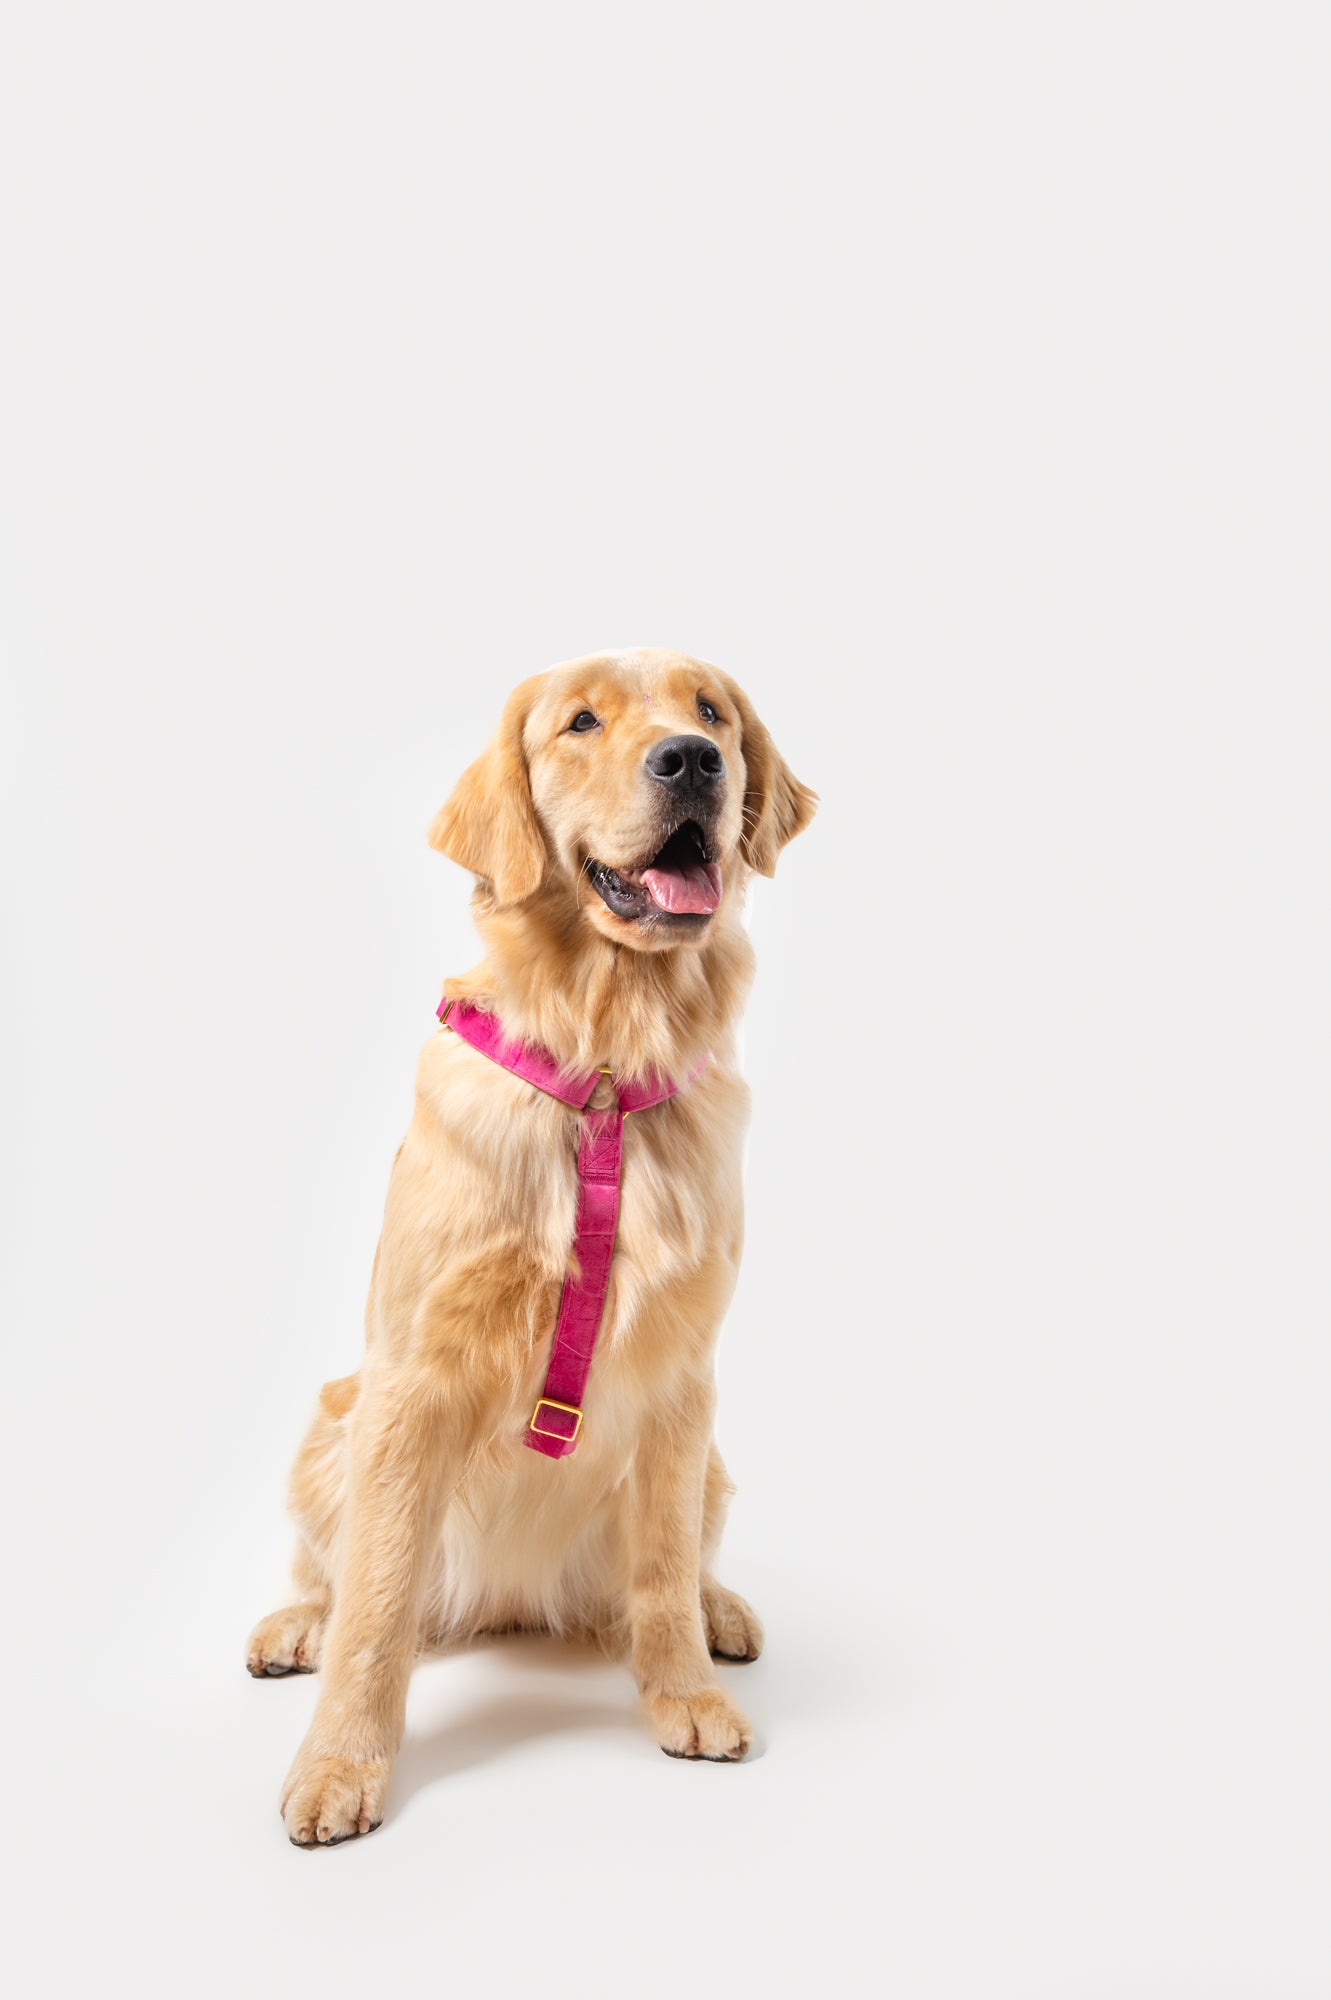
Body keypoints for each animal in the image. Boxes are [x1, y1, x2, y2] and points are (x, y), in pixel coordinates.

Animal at [247, 648, 816, 1845]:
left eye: (711, 713)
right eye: (580, 723)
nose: (690, 759)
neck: (604, 1065)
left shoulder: (683, 1375)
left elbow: (659, 1567)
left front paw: (685, 1692)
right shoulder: (410, 1376)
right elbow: (376, 1601)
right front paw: (339, 1762)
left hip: (713, 1461)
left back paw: (720, 1612)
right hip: (330, 1421)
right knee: (340, 1576)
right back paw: (296, 1623)